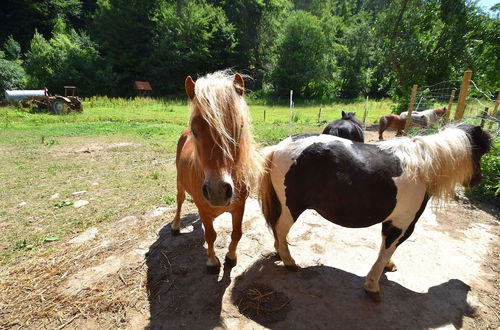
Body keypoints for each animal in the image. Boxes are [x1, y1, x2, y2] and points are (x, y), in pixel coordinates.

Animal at [172, 69, 264, 274]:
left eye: (239, 127)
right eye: (195, 130)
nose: (218, 192)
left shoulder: (239, 207)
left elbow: (237, 233)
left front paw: (231, 257)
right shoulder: (204, 210)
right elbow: (210, 235)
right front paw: (212, 262)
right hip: (179, 183)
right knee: (179, 201)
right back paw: (175, 226)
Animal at [260, 124, 490, 302]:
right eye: (481, 152)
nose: (477, 180)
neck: (424, 168)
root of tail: (279, 148)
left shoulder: (391, 221)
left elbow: (385, 247)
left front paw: (387, 266)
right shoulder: (403, 224)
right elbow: (388, 248)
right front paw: (372, 286)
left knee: (278, 232)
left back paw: (280, 253)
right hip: (292, 208)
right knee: (280, 229)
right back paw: (289, 262)